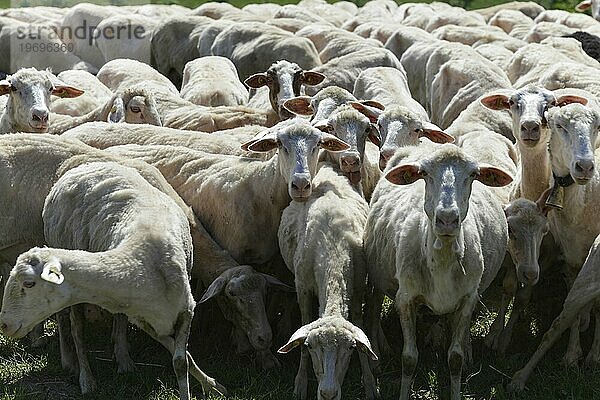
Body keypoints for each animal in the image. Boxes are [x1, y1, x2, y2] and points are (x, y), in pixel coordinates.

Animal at [0, 161, 226, 398]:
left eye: (28, 283)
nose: (4, 325)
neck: (139, 257)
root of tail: (81, 167)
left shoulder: (185, 310)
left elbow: (182, 361)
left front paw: (212, 386)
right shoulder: (143, 320)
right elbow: (179, 356)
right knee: (76, 330)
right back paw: (85, 377)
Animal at [276, 163, 376, 400]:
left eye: (350, 348)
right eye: (311, 346)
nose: (328, 394)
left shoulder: (358, 286)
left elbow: (359, 323)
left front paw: (369, 382)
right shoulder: (302, 287)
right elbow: (304, 323)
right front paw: (300, 382)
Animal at [364, 142, 512, 398]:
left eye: (473, 175)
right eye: (423, 173)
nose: (447, 219)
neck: (442, 259)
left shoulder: (468, 300)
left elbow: (455, 358)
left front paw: (456, 390)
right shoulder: (405, 298)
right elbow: (409, 359)